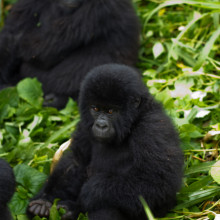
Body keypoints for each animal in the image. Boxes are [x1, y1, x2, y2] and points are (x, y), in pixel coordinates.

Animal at [26, 64, 183, 220]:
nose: (101, 125)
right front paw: (46, 199)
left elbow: (155, 182)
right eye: (95, 108)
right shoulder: (85, 125)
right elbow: (75, 163)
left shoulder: (153, 127)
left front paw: (89, 192)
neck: (132, 122)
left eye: (111, 111)